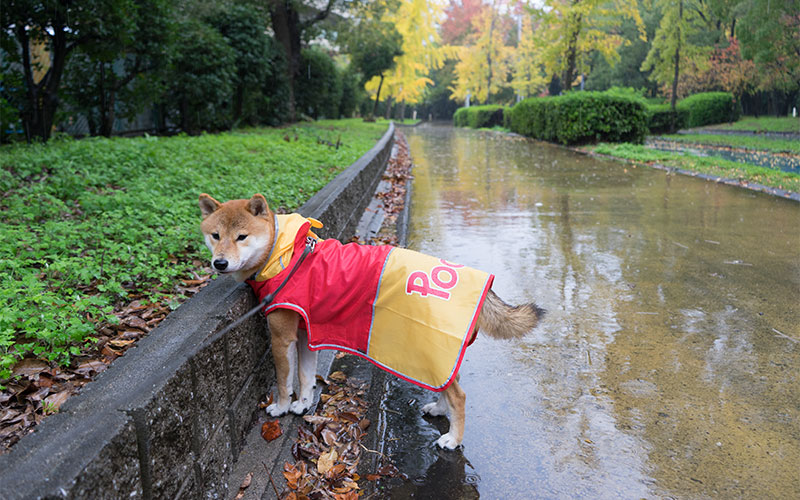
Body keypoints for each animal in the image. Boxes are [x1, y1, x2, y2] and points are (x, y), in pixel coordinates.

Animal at [198, 192, 544, 450]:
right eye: (215, 236)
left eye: (241, 237)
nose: (219, 263)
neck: (285, 253)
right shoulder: (306, 333)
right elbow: (306, 377)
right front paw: (303, 404)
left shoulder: (282, 337)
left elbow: (285, 381)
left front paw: (282, 407)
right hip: (439, 355)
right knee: (449, 385)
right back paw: (439, 409)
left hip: (428, 351)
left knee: (459, 395)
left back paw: (453, 438)